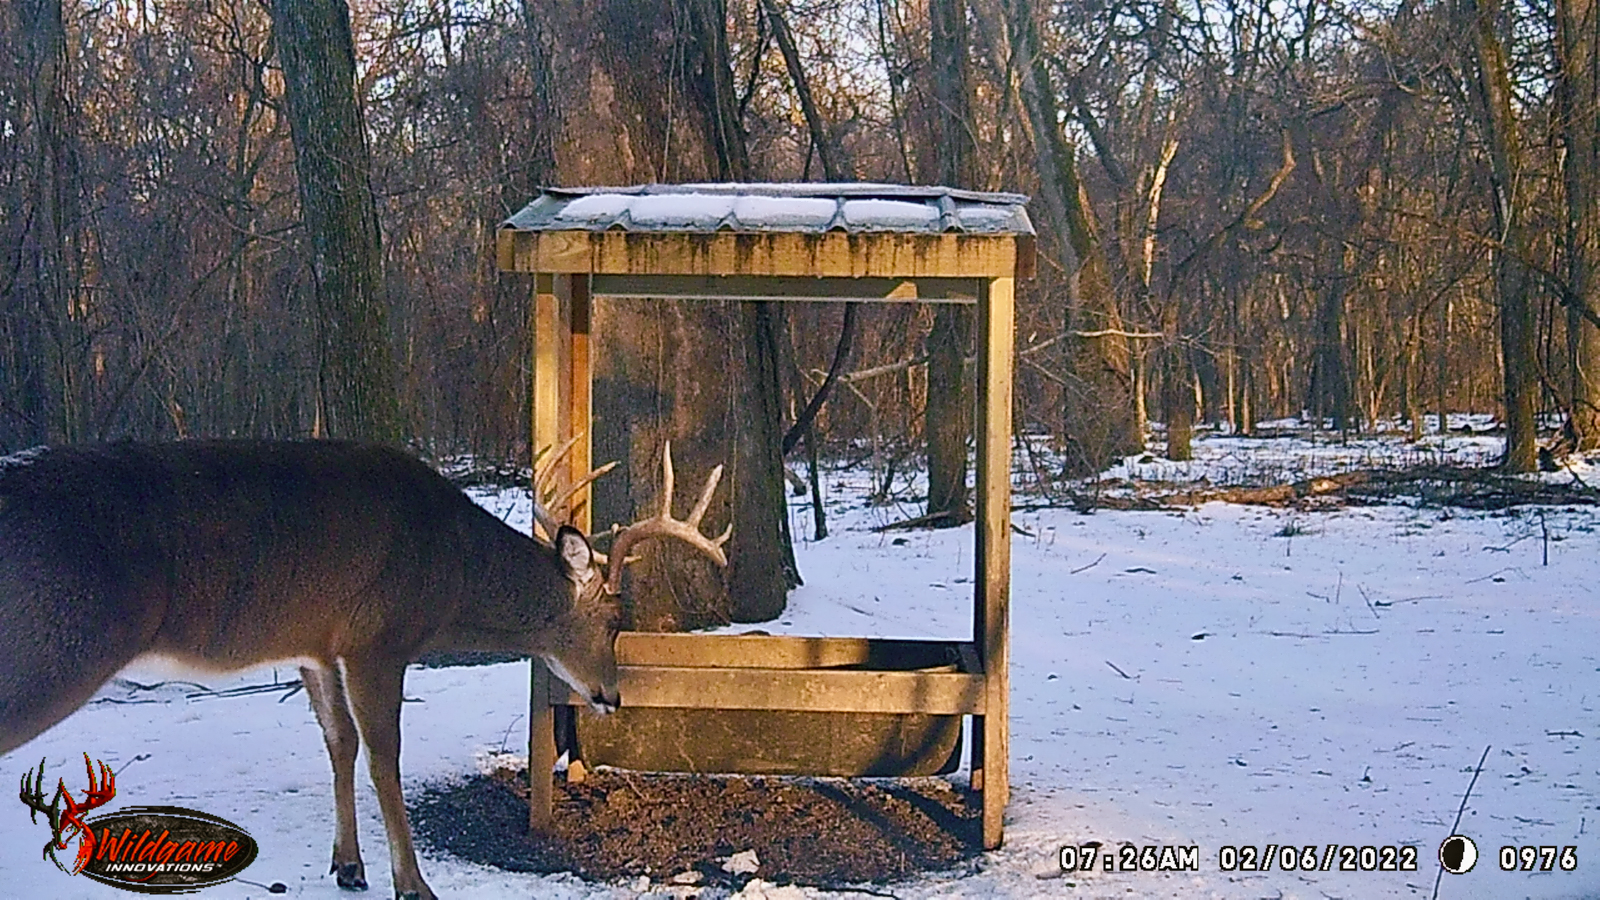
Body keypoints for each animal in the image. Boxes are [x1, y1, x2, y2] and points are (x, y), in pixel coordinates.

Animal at [0, 438, 728, 900]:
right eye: (613, 622)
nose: (612, 696)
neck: (449, 576)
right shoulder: (379, 637)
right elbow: (385, 754)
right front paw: (414, 884)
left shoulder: (318, 646)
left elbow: (339, 742)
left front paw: (347, 866)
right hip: (52, 651)